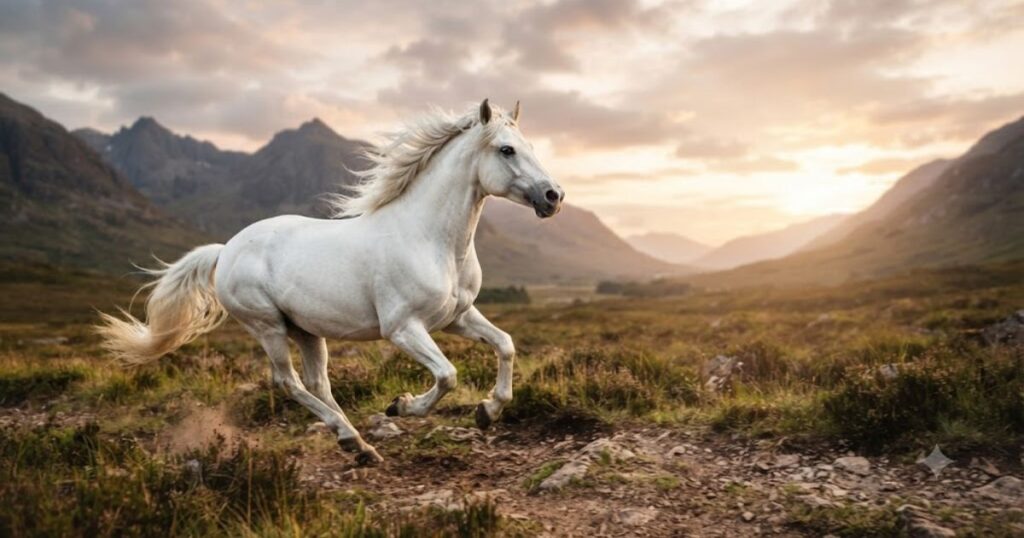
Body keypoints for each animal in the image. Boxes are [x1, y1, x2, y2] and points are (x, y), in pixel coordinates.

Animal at [97, 99, 564, 465]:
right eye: (507, 149)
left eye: (530, 146)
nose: (553, 196)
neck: (432, 240)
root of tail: (225, 249)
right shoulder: (403, 329)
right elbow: (447, 375)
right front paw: (401, 406)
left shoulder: (457, 317)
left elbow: (506, 345)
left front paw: (488, 411)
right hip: (267, 326)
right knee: (288, 383)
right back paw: (352, 440)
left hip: (306, 330)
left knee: (318, 383)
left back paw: (358, 445)